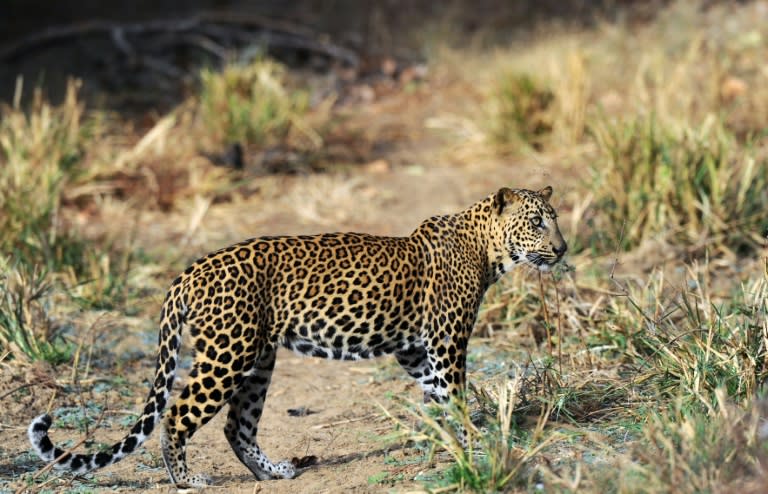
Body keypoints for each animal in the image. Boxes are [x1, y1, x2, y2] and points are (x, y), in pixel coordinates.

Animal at [27, 185, 568, 486]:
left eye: (554, 222)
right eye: (537, 223)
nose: (563, 249)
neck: (488, 249)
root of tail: (187, 274)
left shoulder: (416, 351)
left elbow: (439, 399)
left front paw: (451, 442)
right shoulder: (446, 342)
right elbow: (456, 397)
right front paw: (479, 445)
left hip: (258, 359)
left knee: (236, 426)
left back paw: (273, 472)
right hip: (226, 355)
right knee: (178, 415)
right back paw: (187, 479)